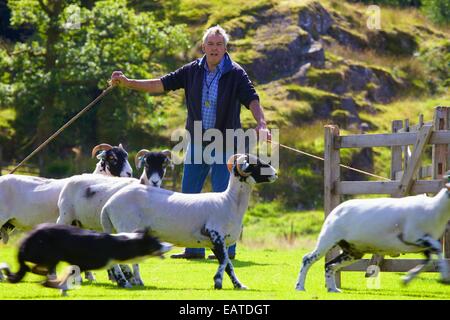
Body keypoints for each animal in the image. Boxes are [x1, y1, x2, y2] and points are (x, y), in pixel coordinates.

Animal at [0, 224, 171, 294]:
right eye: (157, 242)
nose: (169, 246)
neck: (120, 243)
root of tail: (26, 240)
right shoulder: (81, 264)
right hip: (49, 254)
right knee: (33, 267)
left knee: (34, 268)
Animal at [54, 149, 171, 284]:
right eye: (146, 164)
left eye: (164, 164)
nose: (155, 182)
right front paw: (132, 279)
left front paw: (131, 278)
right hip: (65, 216)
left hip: (81, 223)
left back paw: (86, 276)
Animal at [101, 154, 278, 288]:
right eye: (256, 164)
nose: (276, 174)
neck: (229, 202)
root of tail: (108, 204)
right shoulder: (214, 234)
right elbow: (225, 262)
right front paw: (218, 282)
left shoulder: (216, 242)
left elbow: (228, 264)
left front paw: (238, 285)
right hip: (127, 228)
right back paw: (127, 282)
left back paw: (125, 282)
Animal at [294, 182, 450, 292]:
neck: (434, 208)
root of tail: (336, 210)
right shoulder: (413, 236)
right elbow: (437, 250)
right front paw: (444, 277)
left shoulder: (423, 244)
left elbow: (429, 261)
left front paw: (407, 279)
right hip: (328, 239)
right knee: (307, 259)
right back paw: (300, 287)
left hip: (353, 251)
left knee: (330, 265)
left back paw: (333, 289)